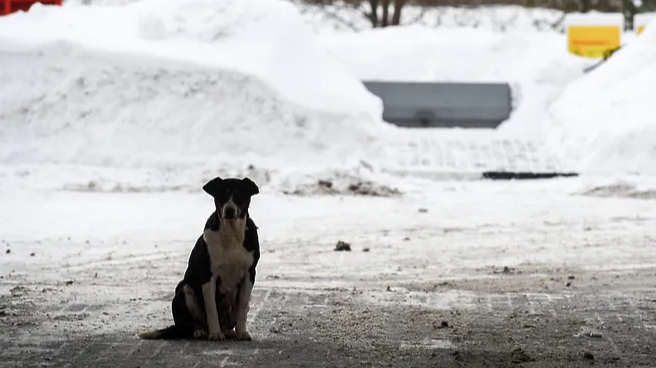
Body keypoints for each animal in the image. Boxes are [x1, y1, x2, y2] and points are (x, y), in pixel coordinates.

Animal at [139, 177, 262, 340]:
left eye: (239, 194)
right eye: (222, 194)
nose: (229, 210)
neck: (231, 236)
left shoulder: (249, 274)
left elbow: (243, 306)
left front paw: (242, 332)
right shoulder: (208, 275)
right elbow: (211, 308)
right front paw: (215, 333)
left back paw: (227, 331)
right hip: (184, 289)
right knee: (192, 325)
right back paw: (201, 331)